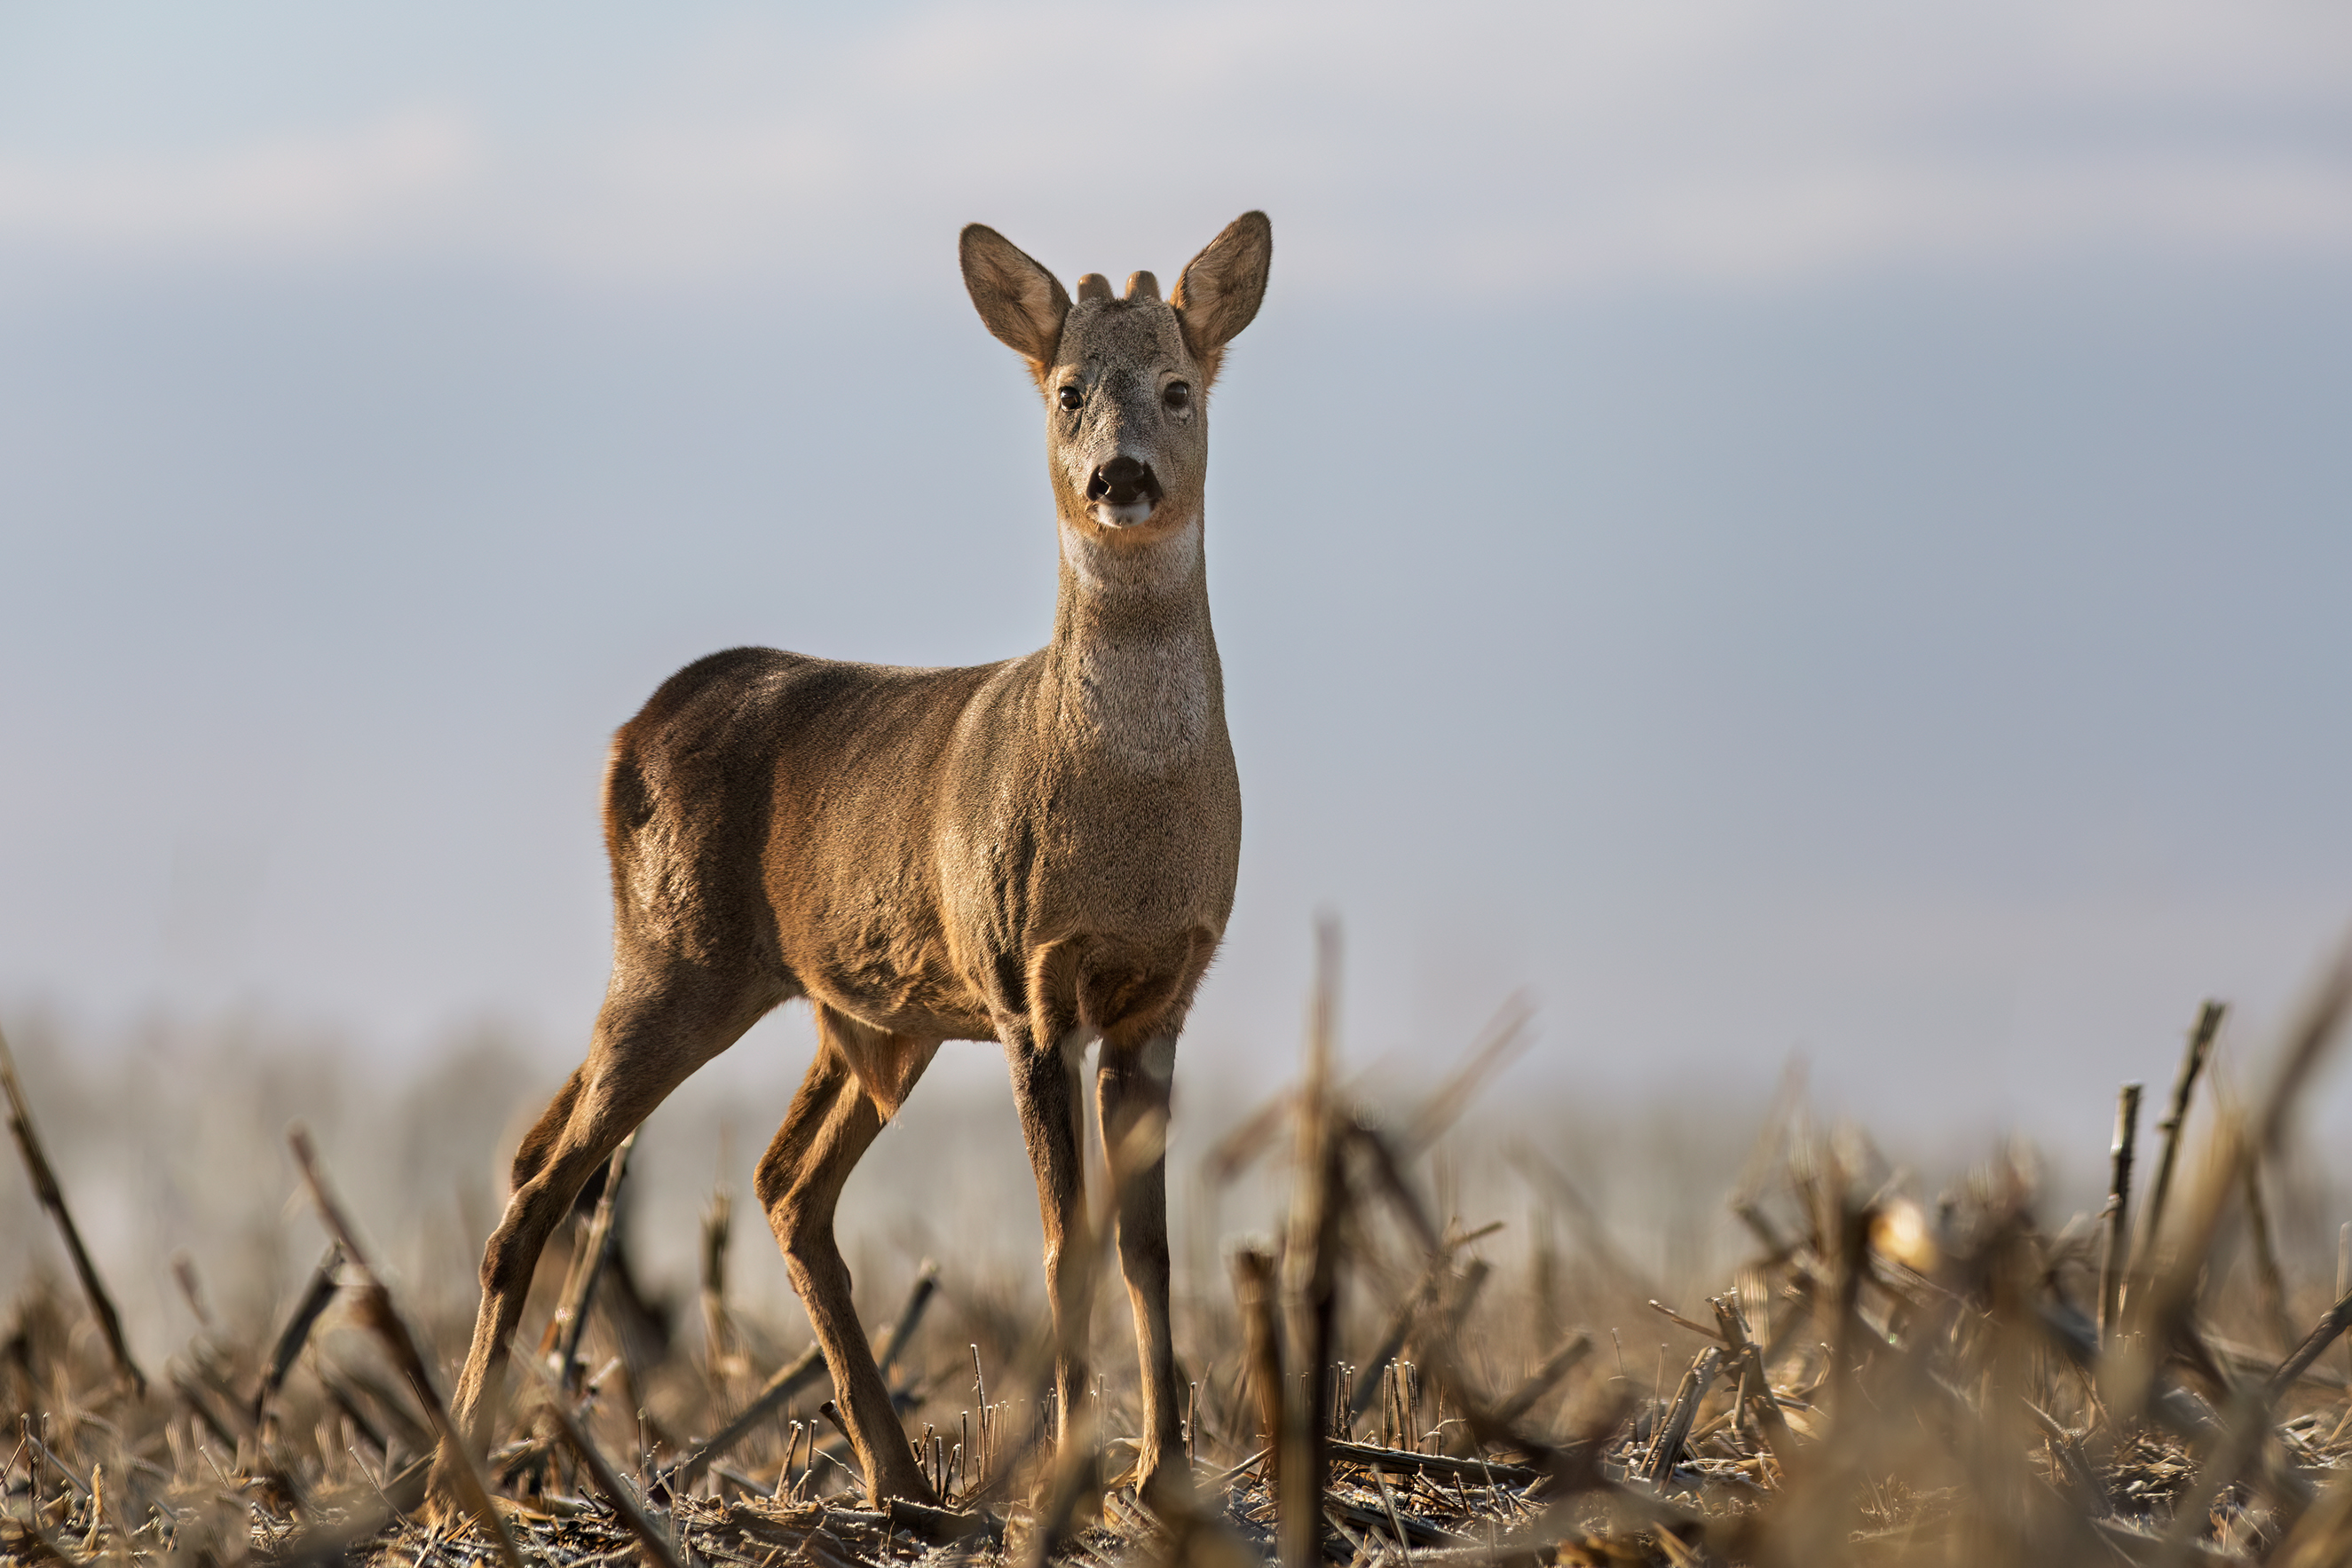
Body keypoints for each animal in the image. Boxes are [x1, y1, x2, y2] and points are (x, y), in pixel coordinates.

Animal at [428, 215, 1270, 1514]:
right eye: (1069, 390)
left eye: (1179, 389)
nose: (1118, 477)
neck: (1127, 817)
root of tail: (628, 734)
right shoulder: (1024, 981)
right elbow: (1060, 1237)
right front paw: (1073, 1472)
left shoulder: (1159, 994)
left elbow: (1148, 1245)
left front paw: (1161, 1469)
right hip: (675, 956)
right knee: (540, 1182)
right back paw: (457, 1477)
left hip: (868, 1015)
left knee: (773, 1183)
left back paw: (900, 1478)